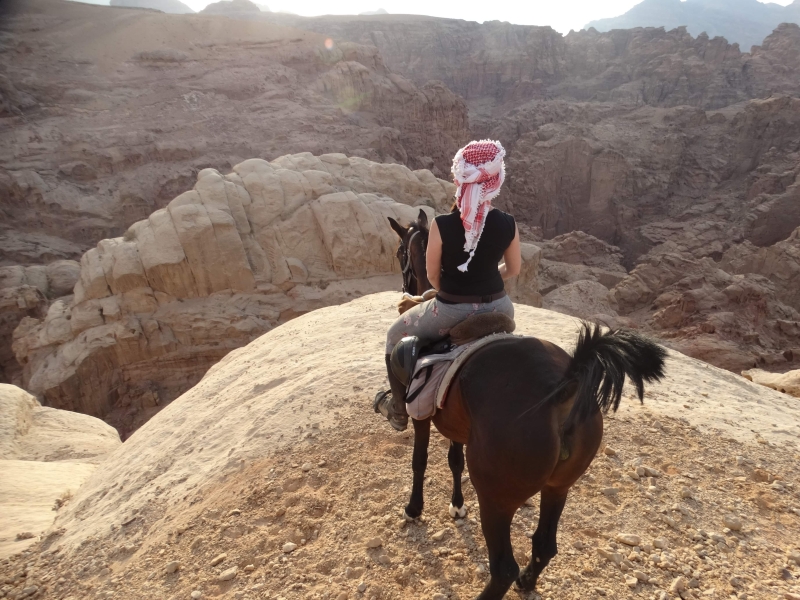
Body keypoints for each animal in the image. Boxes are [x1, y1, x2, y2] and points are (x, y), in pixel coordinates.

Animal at [384, 209, 664, 596]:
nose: (406, 290)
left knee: (503, 567)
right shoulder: (457, 423)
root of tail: (564, 387)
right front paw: (457, 506)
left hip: (496, 498)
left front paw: (414, 509)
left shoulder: (422, 413)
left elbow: (420, 461)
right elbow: (454, 460)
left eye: (400, 252)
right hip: (559, 487)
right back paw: (527, 581)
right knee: (545, 544)